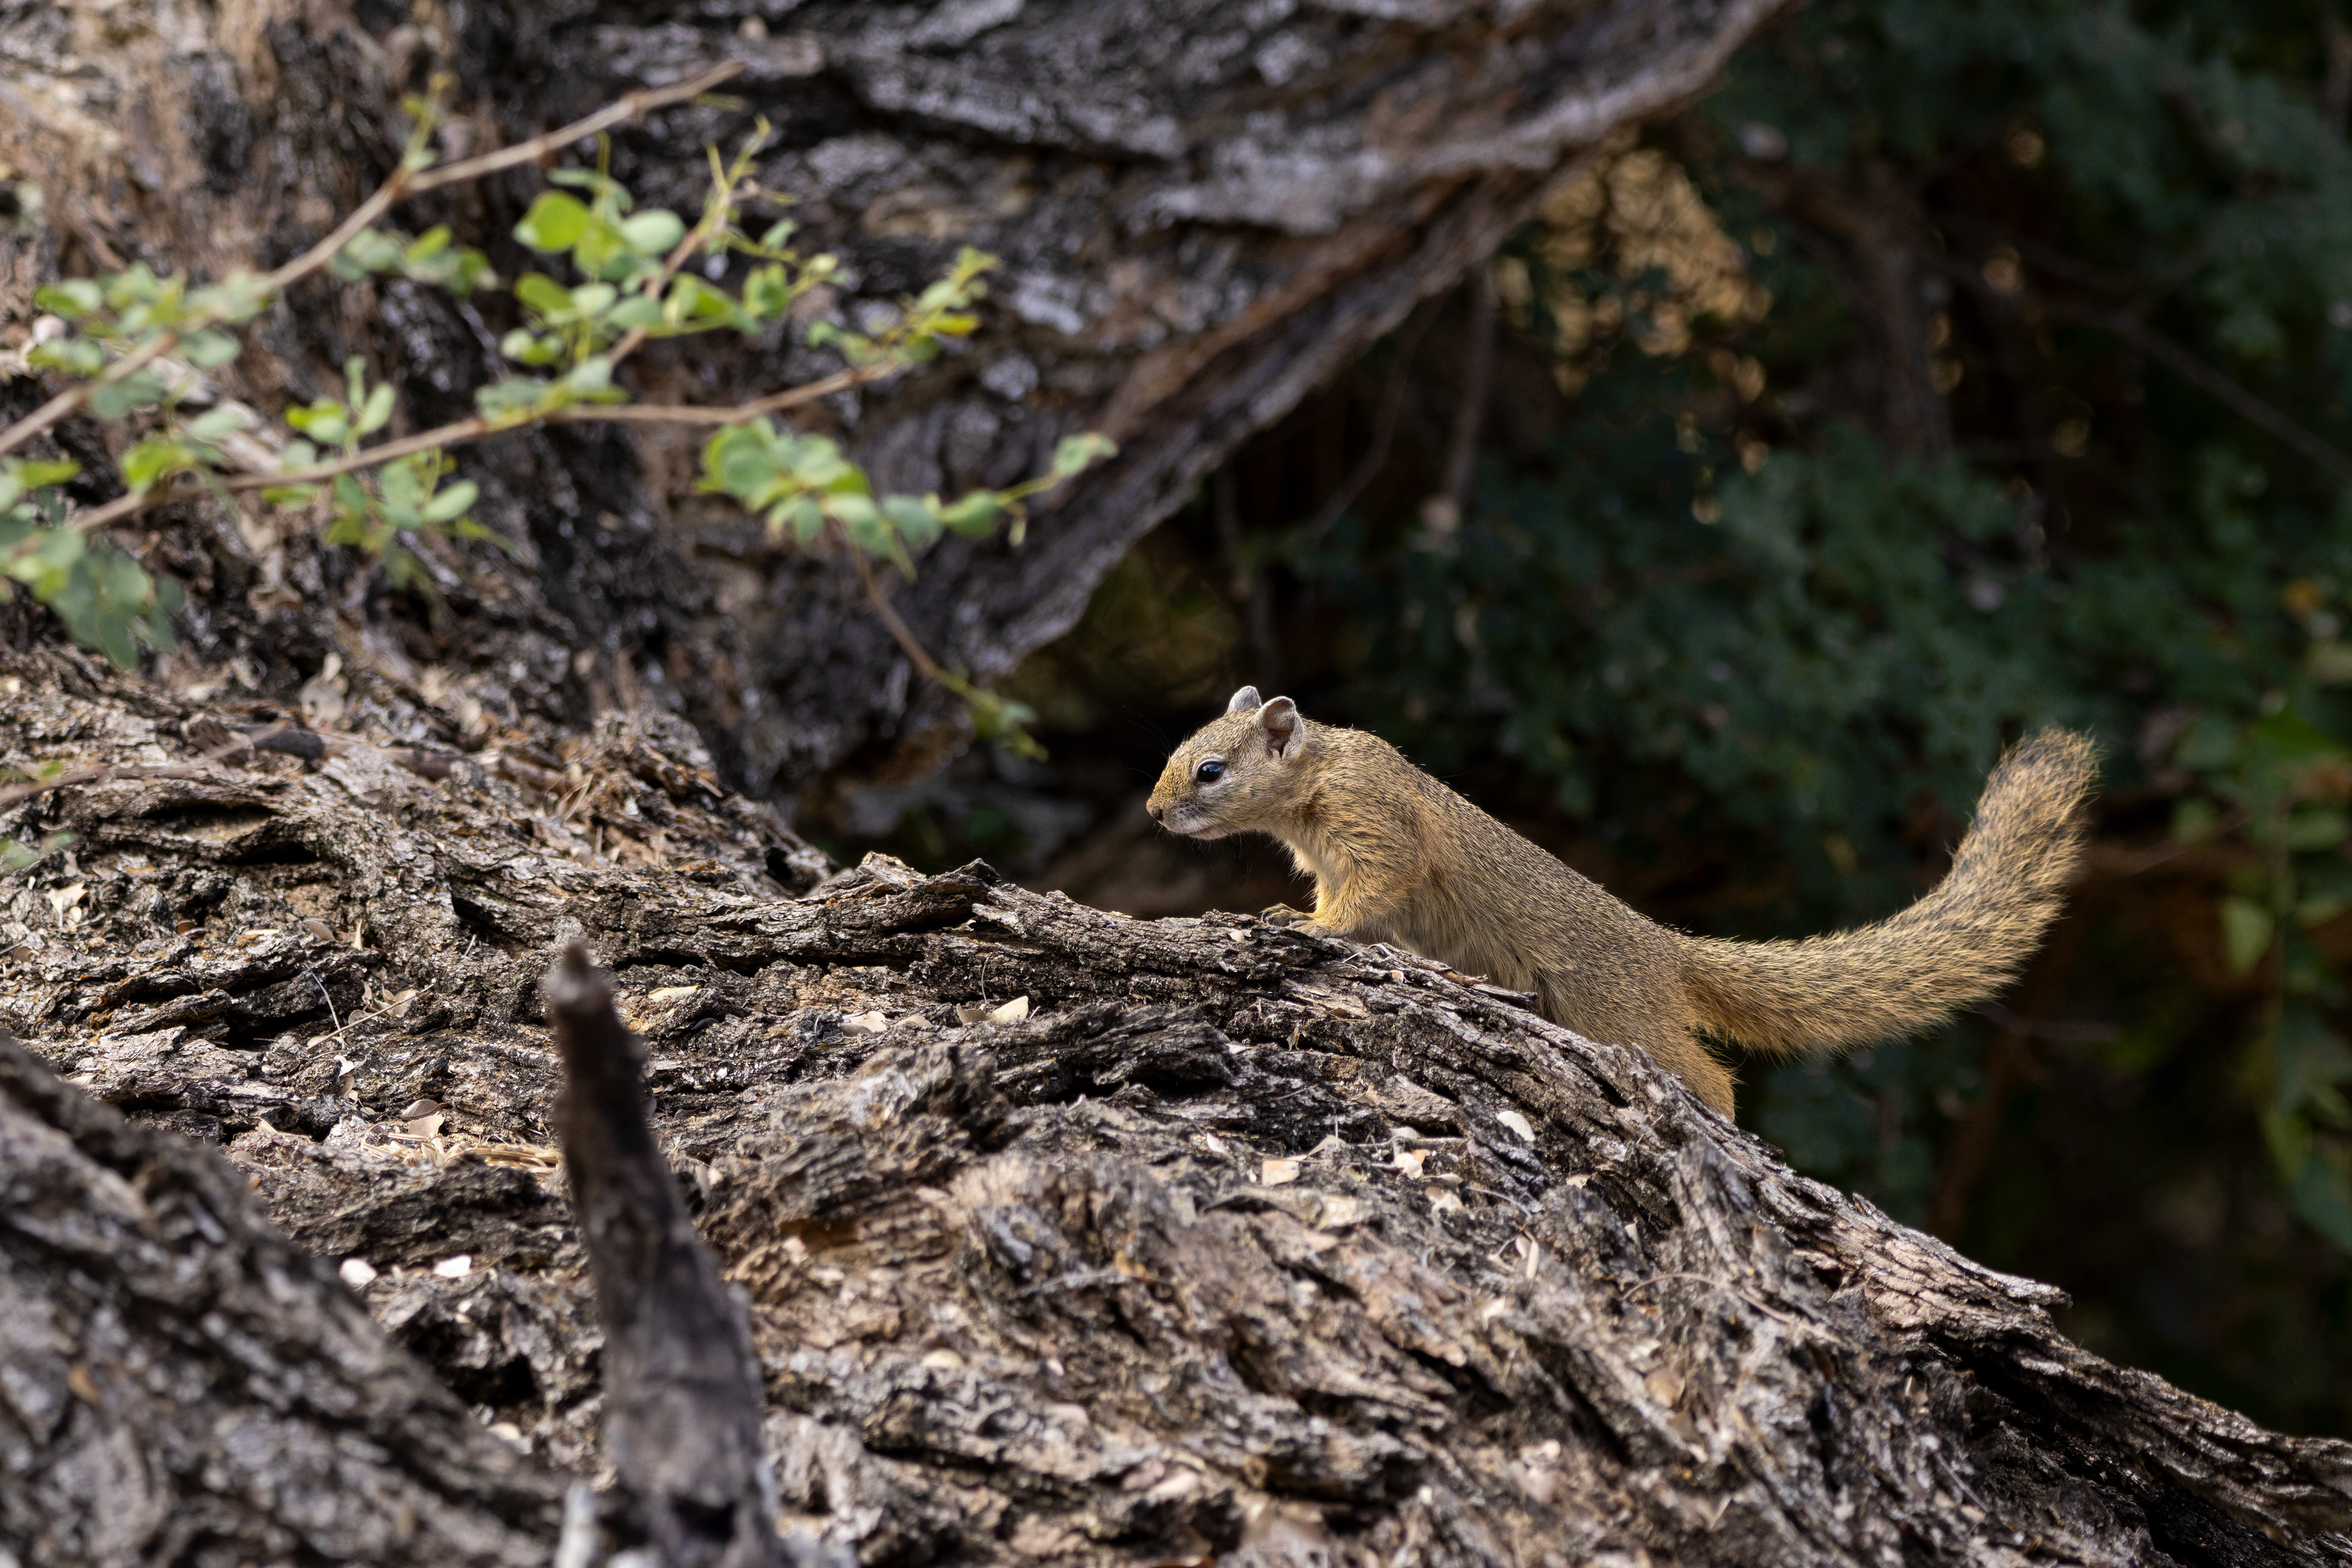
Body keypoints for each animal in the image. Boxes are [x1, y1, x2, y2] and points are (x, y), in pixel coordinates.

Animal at [1146, 686, 2098, 1117]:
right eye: (1178, 749)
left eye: (1211, 769)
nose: (1153, 812)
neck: (1317, 780)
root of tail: (1666, 948)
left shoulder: (1380, 832)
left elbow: (1365, 897)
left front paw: (1303, 925)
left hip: (1616, 1011)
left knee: (1707, 1073)